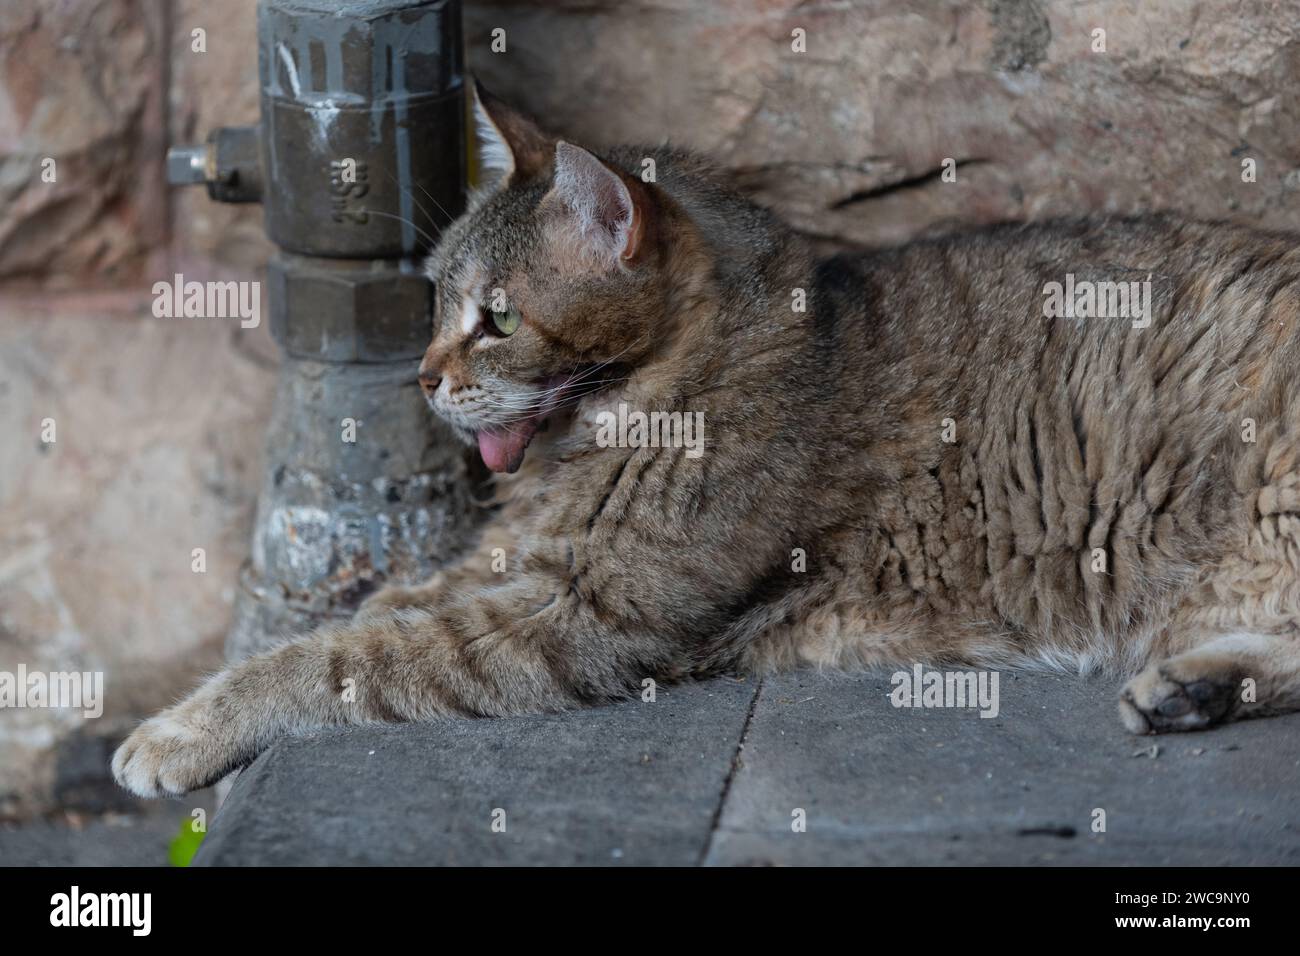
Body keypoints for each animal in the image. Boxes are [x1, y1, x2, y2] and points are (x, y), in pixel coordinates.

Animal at [114, 83, 1300, 801]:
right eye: (438, 297)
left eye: (495, 317)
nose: (422, 376)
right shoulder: (514, 568)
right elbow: (381, 604)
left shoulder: (576, 616)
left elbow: (337, 658)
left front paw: (181, 729)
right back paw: (1195, 685)